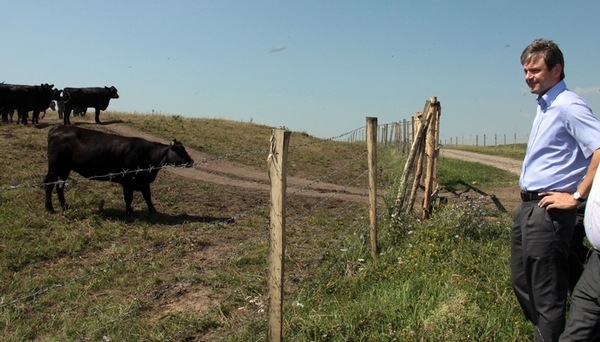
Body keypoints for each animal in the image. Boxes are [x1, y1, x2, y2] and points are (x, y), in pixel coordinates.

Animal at [44, 125, 195, 214]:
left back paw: (65, 206)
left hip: (64, 169)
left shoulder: (143, 181)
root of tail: (57, 128)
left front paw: (153, 211)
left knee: (59, 186)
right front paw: (129, 213)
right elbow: (129, 198)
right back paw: (50, 208)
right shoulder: (128, 181)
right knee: (49, 185)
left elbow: (147, 196)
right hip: (55, 167)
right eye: (181, 151)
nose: (191, 161)